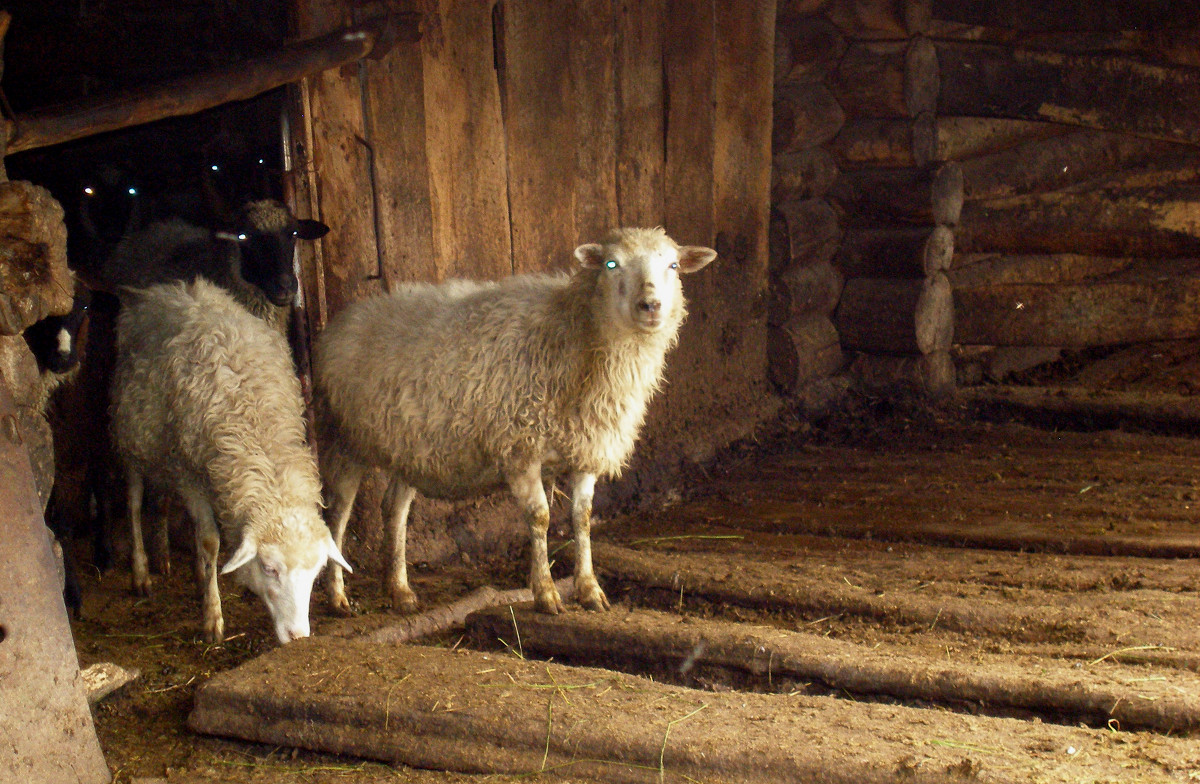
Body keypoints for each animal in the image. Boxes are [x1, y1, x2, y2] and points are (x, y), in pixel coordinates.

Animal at [111, 278, 350, 638]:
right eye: (269, 568)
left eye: (315, 572)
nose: (298, 636)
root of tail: (163, 290)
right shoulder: (189, 475)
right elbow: (209, 541)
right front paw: (212, 617)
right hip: (131, 440)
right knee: (134, 503)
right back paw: (141, 572)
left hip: (162, 451)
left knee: (161, 499)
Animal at [314, 228, 715, 619]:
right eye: (611, 264)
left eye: (674, 265)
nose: (650, 306)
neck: (576, 338)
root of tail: (344, 319)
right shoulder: (520, 448)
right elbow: (539, 518)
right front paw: (546, 593)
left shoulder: (585, 450)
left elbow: (582, 518)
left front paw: (588, 589)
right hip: (342, 438)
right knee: (337, 516)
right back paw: (338, 597)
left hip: (411, 447)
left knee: (394, 510)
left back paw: (400, 591)